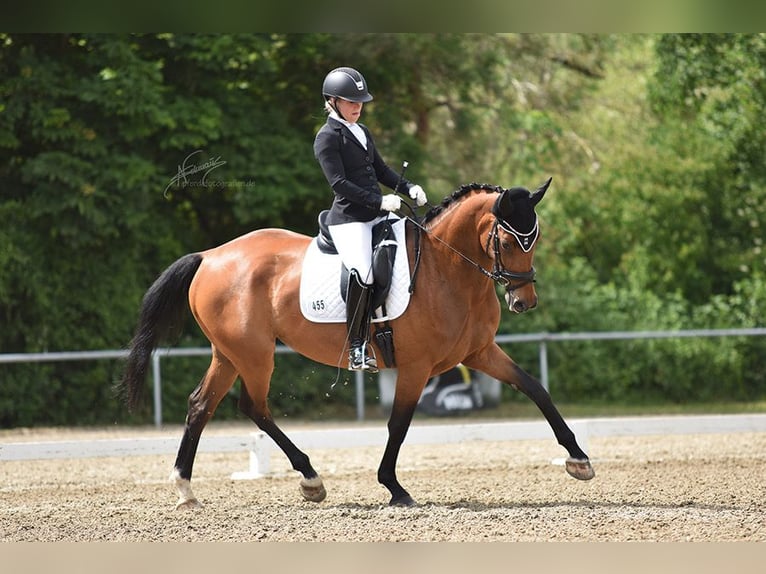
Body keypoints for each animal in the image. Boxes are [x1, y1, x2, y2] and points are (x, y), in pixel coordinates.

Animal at [121, 179, 600, 508]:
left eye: (534, 238)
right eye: (505, 239)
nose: (524, 301)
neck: (448, 269)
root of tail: (211, 255)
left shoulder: (479, 353)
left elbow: (536, 389)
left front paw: (579, 460)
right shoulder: (416, 367)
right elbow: (398, 425)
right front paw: (394, 487)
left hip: (229, 354)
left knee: (202, 405)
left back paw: (186, 488)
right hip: (253, 354)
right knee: (252, 406)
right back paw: (310, 479)